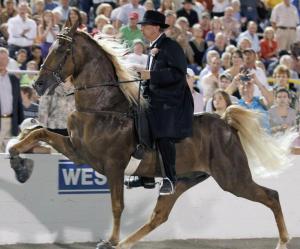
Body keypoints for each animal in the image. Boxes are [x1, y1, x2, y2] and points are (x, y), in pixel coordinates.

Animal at [8, 21, 292, 249]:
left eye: (63, 51)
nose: (38, 84)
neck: (103, 106)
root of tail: (225, 122)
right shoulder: (77, 150)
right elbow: (39, 132)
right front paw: (18, 163)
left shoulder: (110, 165)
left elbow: (117, 205)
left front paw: (110, 239)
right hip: (183, 180)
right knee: (159, 216)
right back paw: (124, 244)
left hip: (232, 178)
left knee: (272, 196)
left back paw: (283, 241)